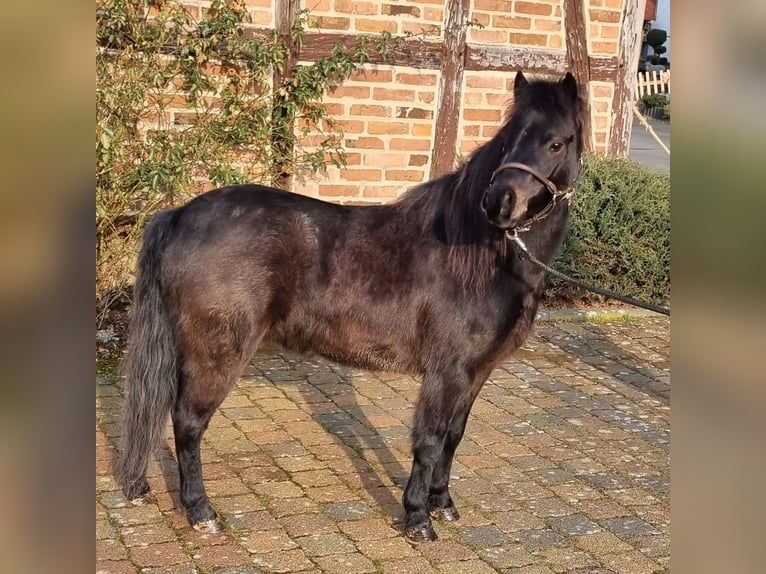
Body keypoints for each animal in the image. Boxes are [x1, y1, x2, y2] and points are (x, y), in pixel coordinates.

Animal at [117, 70, 588, 544]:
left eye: (556, 143)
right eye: (508, 140)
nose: (500, 202)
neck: (482, 254)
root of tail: (179, 214)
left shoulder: (476, 372)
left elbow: (454, 436)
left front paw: (443, 505)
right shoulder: (447, 371)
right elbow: (430, 440)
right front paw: (418, 518)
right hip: (217, 353)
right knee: (187, 422)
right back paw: (201, 512)